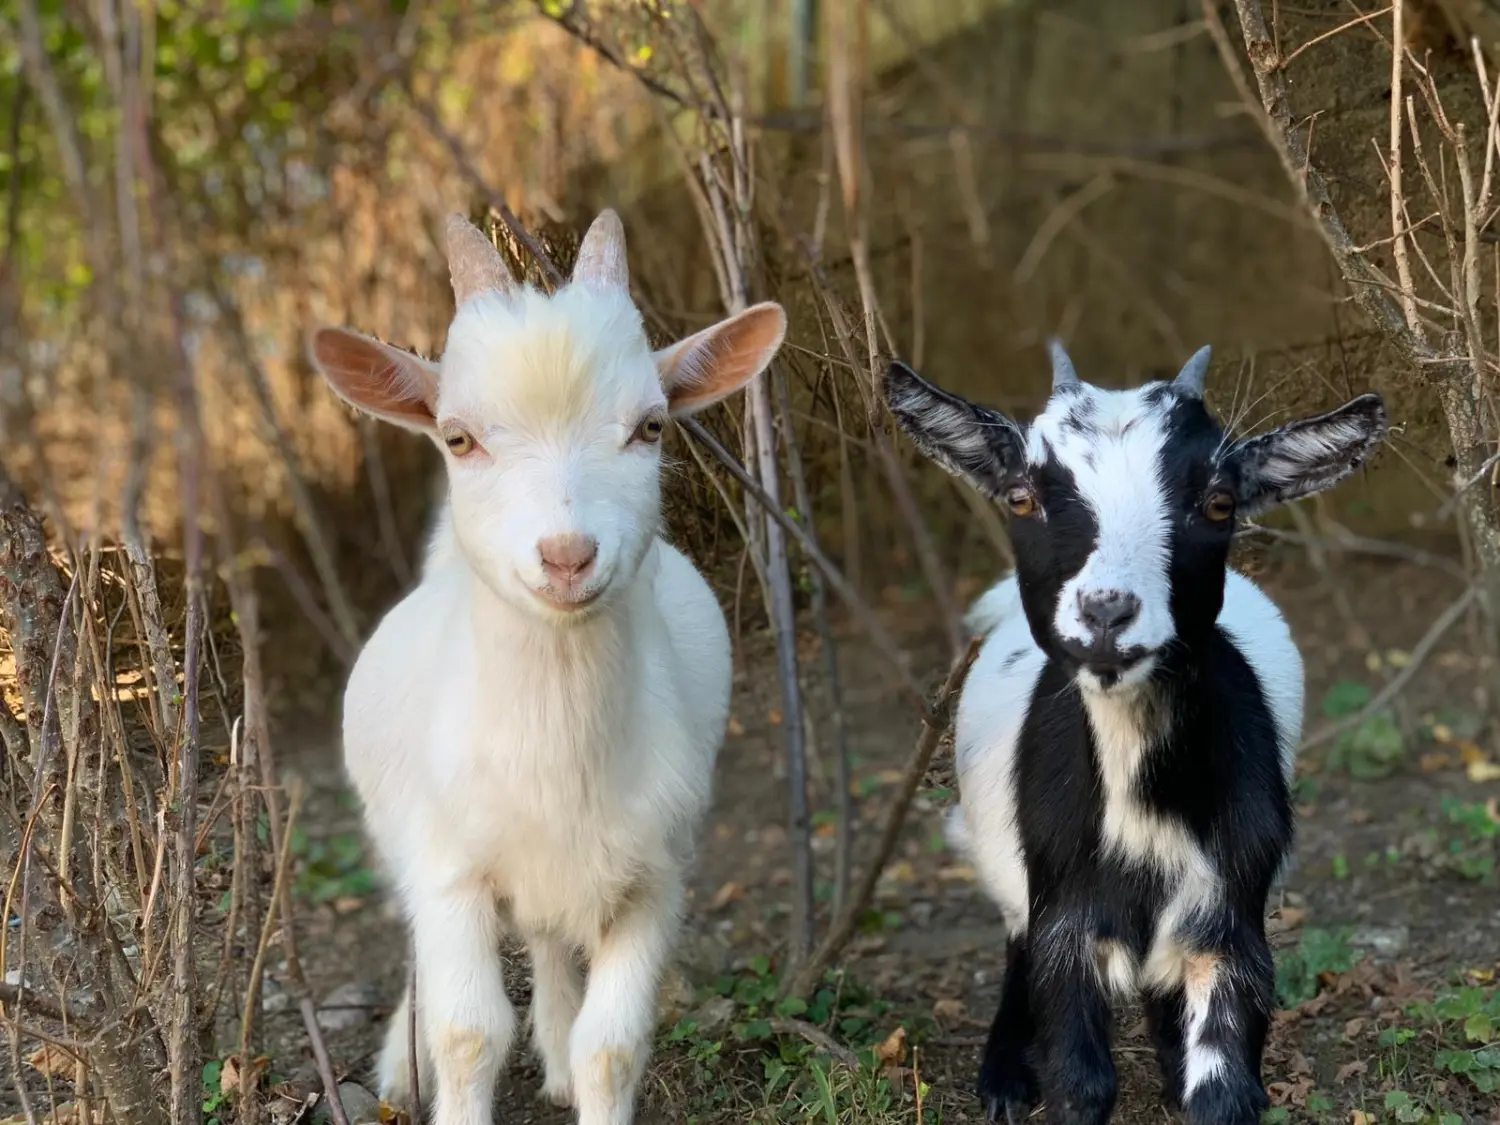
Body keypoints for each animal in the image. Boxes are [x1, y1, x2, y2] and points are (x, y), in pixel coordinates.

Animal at [304, 211, 786, 1125]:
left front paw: (575, 1059)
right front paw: (439, 1070)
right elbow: (468, 1032)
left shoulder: (652, 873)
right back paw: (402, 1066)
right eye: (458, 437)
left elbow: (613, 1044)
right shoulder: (450, 867)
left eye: (651, 426)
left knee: (548, 936)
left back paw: (555, 1046)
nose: (567, 556)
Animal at [882, 346, 1386, 1125]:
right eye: (1021, 496)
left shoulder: (1229, 917)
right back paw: (1003, 1076)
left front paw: (1189, 1072)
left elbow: (1223, 1087)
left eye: (1219, 502)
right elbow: (1080, 1078)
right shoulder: (1064, 918)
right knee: (1015, 944)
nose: (1106, 612)